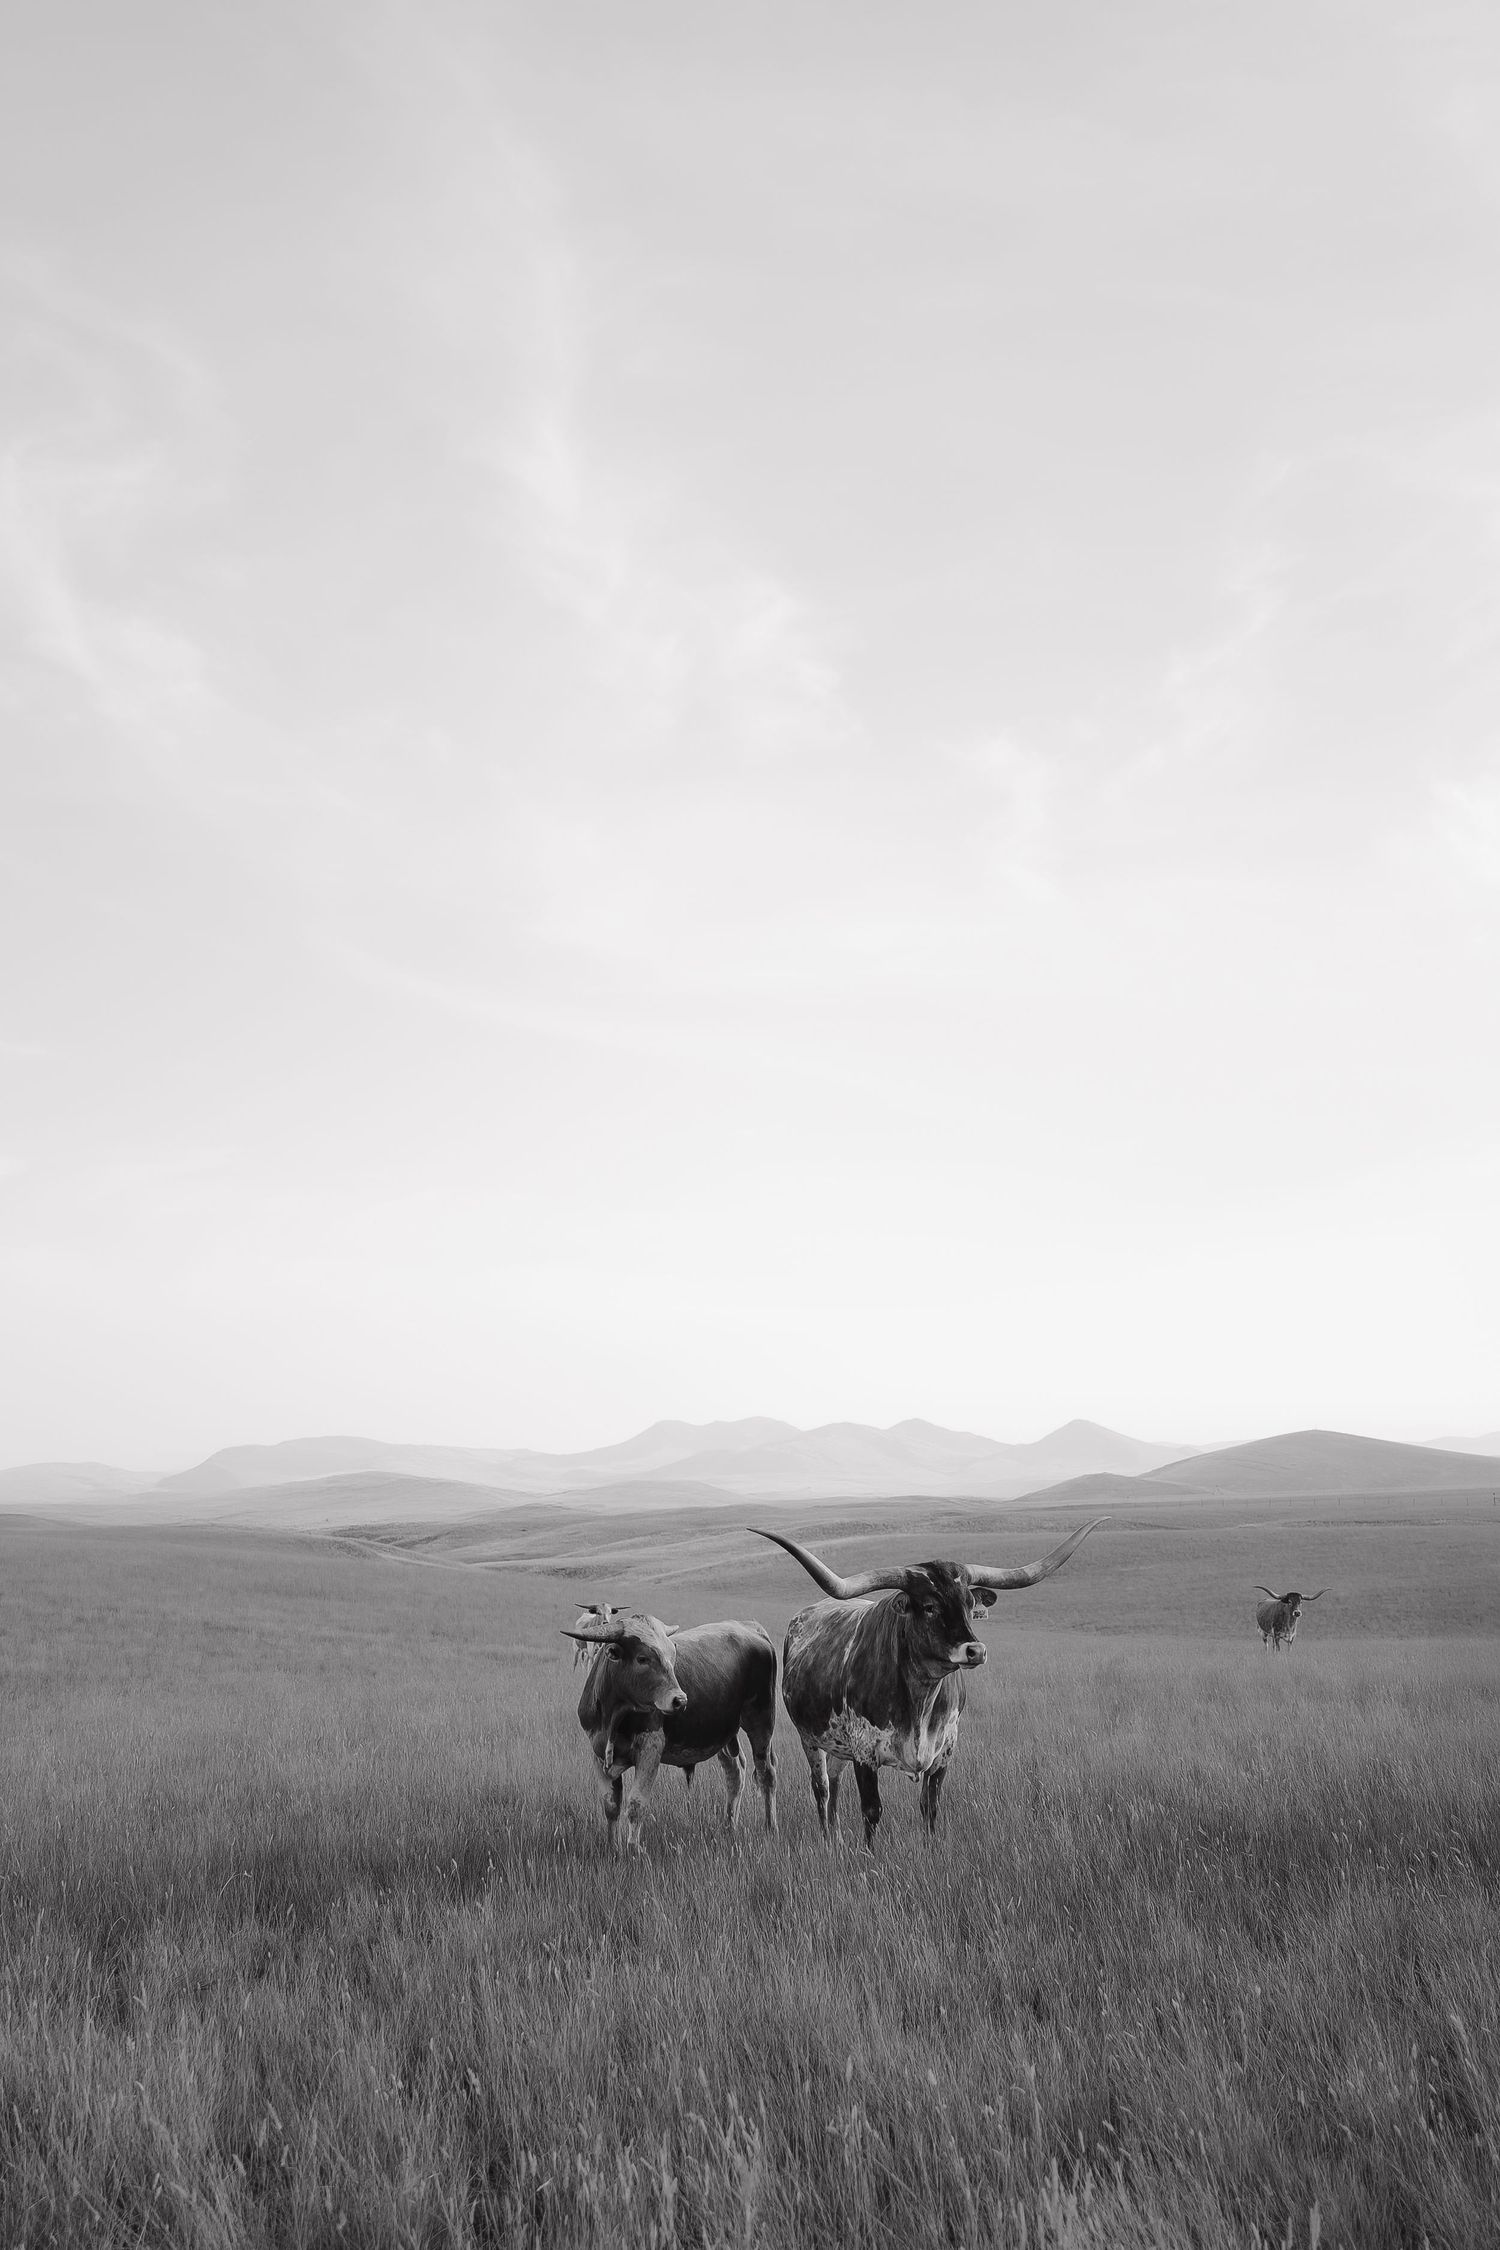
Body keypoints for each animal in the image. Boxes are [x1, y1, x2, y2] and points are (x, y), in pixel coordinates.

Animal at [563, 1606, 778, 1856]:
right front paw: (613, 1849)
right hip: (725, 1731)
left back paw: (769, 1827)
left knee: (766, 1774)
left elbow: (636, 1804)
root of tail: (752, 1627)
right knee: (735, 1771)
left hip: (761, 1720)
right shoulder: (597, 1753)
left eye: (672, 1656)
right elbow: (611, 1805)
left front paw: (633, 1850)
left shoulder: (650, 1749)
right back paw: (729, 1827)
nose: (680, 1700)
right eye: (642, 1658)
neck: (614, 1715)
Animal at [750, 1518, 1104, 1847]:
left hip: (839, 1744)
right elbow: (871, 1810)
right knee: (822, 1786)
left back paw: (835, 1837)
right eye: (930, 1607)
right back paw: (827, 1836)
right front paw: (869, 1856)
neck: (920, 1697)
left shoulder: (945, 1750)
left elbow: (930, 1807)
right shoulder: (865, 1752)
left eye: (969, 1605)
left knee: (834, 1783)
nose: (975, 1650)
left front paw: (931, 1848)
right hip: (810, 1738)